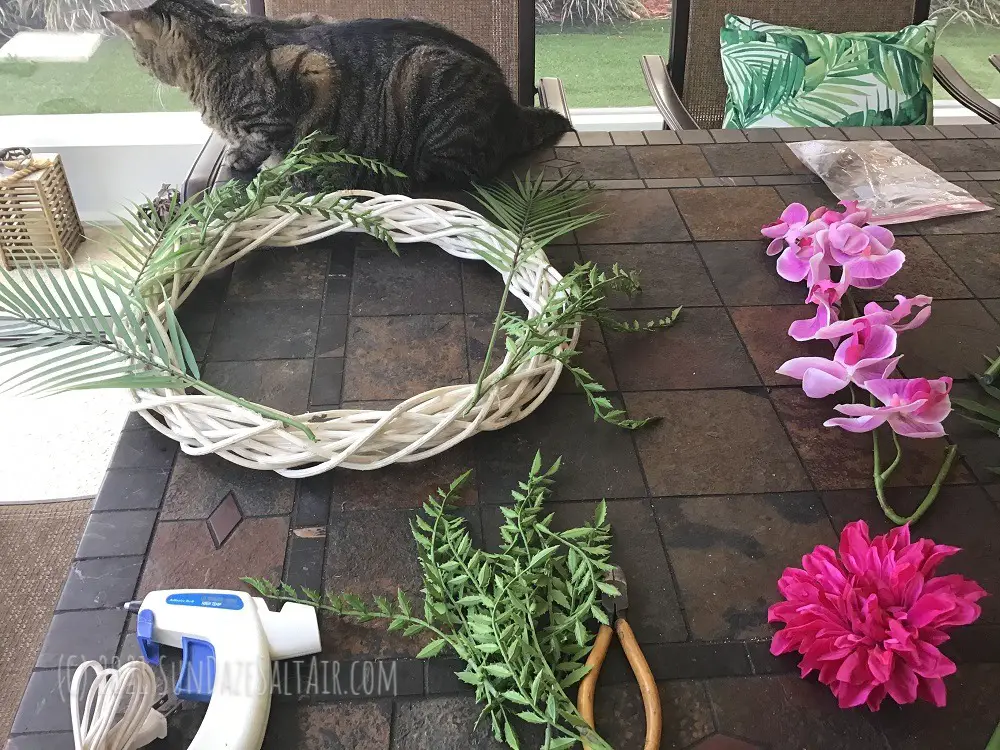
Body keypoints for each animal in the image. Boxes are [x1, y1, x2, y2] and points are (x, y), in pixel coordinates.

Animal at [103, 0, 572, 191]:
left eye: (136, 51)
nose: (137, 63)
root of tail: (512, 109)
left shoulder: (312, 71)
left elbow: (267, 140)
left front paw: (251, 160)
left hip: (425, 76)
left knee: (458, 170)